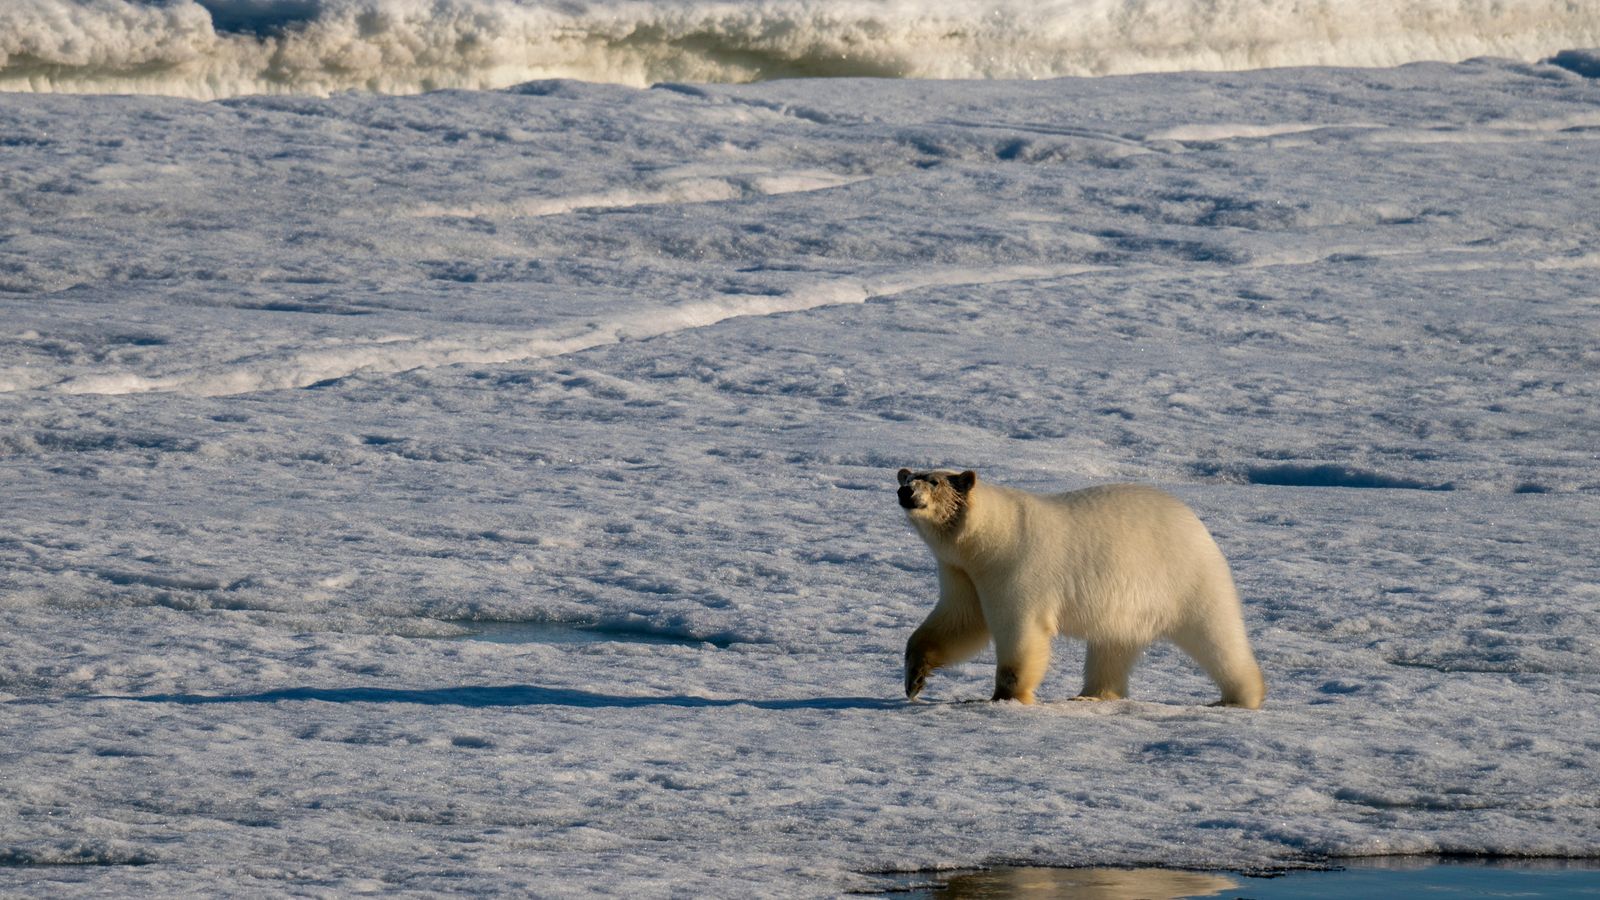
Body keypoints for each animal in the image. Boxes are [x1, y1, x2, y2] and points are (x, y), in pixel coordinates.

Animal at [902, 464, 1260, 704]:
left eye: (933, 481)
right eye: (908, 476)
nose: (905, 491)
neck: (993, 537)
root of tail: (1197, 524)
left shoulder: (1017, 566)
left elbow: (1019, 630)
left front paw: (1004, 696)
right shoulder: (962, 572)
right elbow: (960, 621)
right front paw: (915, 677)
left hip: (1187, 578)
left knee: (1216, 635)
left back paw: (1240, 696)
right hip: (1127, 607)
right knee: (1113, 645)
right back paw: (1093, 694)